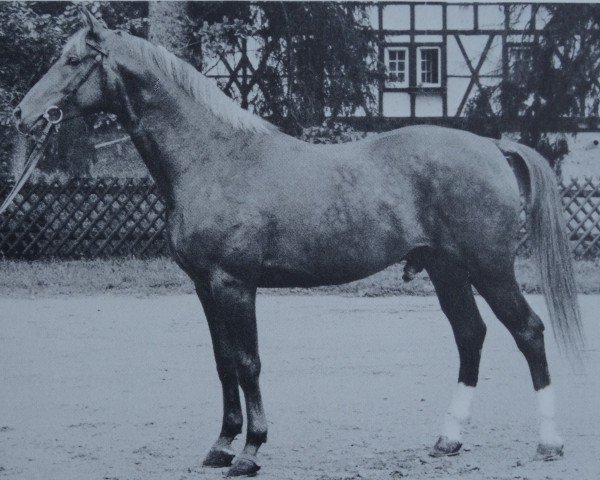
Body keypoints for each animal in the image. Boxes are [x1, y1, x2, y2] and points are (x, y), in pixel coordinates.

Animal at [14, 9, 584, 478]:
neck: (213, 157)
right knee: (470, 335)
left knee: (528, 332)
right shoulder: (204, 287)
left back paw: (550, 443)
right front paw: (221, 445)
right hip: (447, 270)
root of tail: (493, 145)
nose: (22, 115)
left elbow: (248, 362)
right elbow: (223, 360)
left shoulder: (234, 285)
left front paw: (249, 452)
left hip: (490, 269)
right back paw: (448, 439)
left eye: (72, 60)